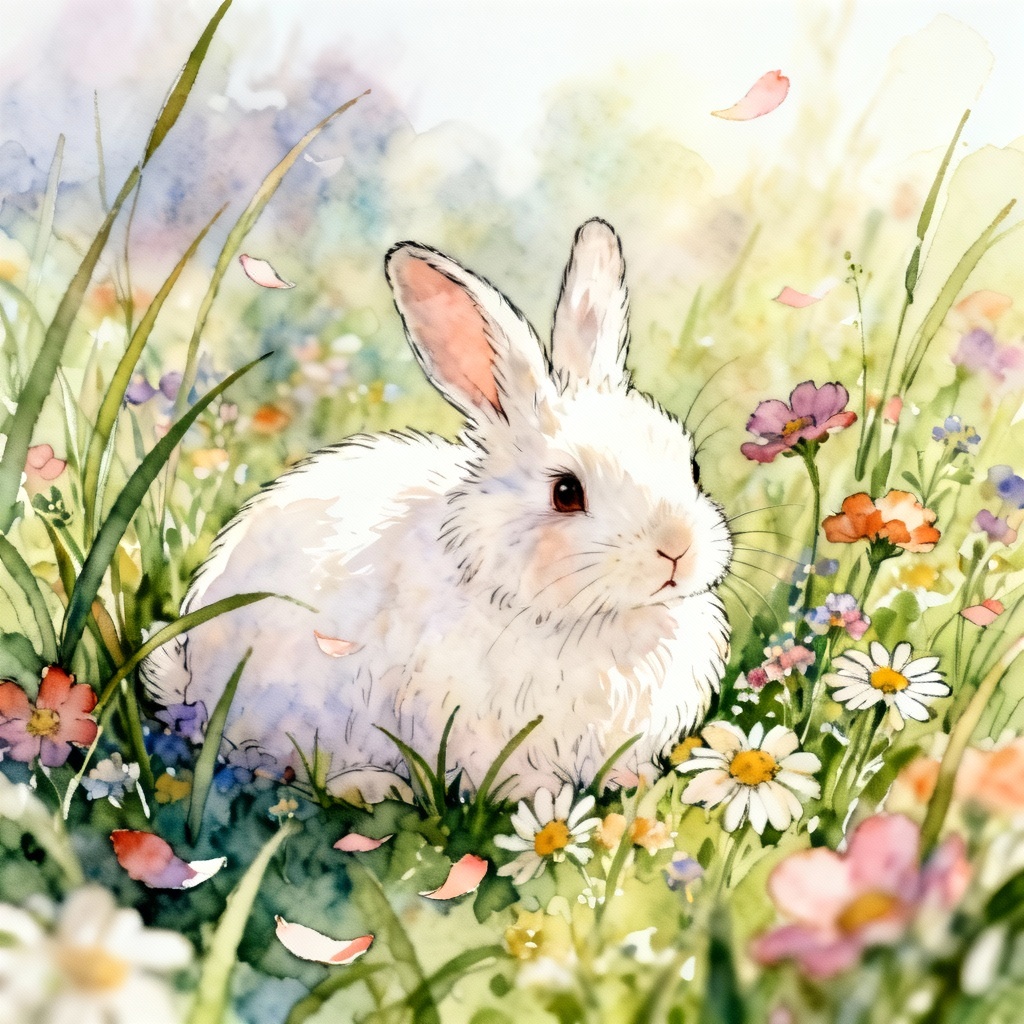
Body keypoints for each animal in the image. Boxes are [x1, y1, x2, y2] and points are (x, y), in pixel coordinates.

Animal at [142, 219, 732, 804]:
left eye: (693, 467)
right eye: (567, 492)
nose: (676, 550)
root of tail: (191, 683)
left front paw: (632, 783)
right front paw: (539, 798)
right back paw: (376, 786)